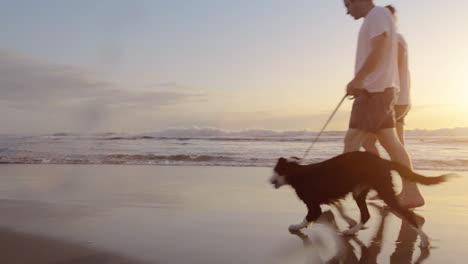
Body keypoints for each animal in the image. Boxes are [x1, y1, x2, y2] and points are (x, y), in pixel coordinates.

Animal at [270, 151, 454, 248]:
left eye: (277, 170)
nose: (270, 181)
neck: (298, 173)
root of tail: (383, 161)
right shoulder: (332, 198)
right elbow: (339, 209)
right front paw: (347, 222)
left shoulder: (314, 205)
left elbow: (307, 218)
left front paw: (296, 227)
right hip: (359, 192)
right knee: (366, 215)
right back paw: (352, 231)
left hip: (385, 191)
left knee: (408, 214)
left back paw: (424, 239)